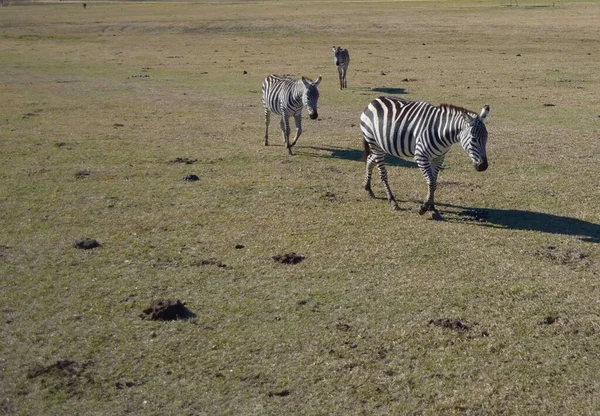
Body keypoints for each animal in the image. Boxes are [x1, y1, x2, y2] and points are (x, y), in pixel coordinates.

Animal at [358, 96, 490, 216]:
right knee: (383, 174)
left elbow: (434, 182)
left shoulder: (439, 158)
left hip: (383, 146)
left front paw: (432, 206)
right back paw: (392, 201)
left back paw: (368, 188)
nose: (483, 166)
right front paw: (424, 207)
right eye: (473, 139)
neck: (441, 132)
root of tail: (374, 101)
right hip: (374, 143)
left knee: (370, 159)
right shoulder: (421, 156)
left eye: (486, 138)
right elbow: (431, 182)